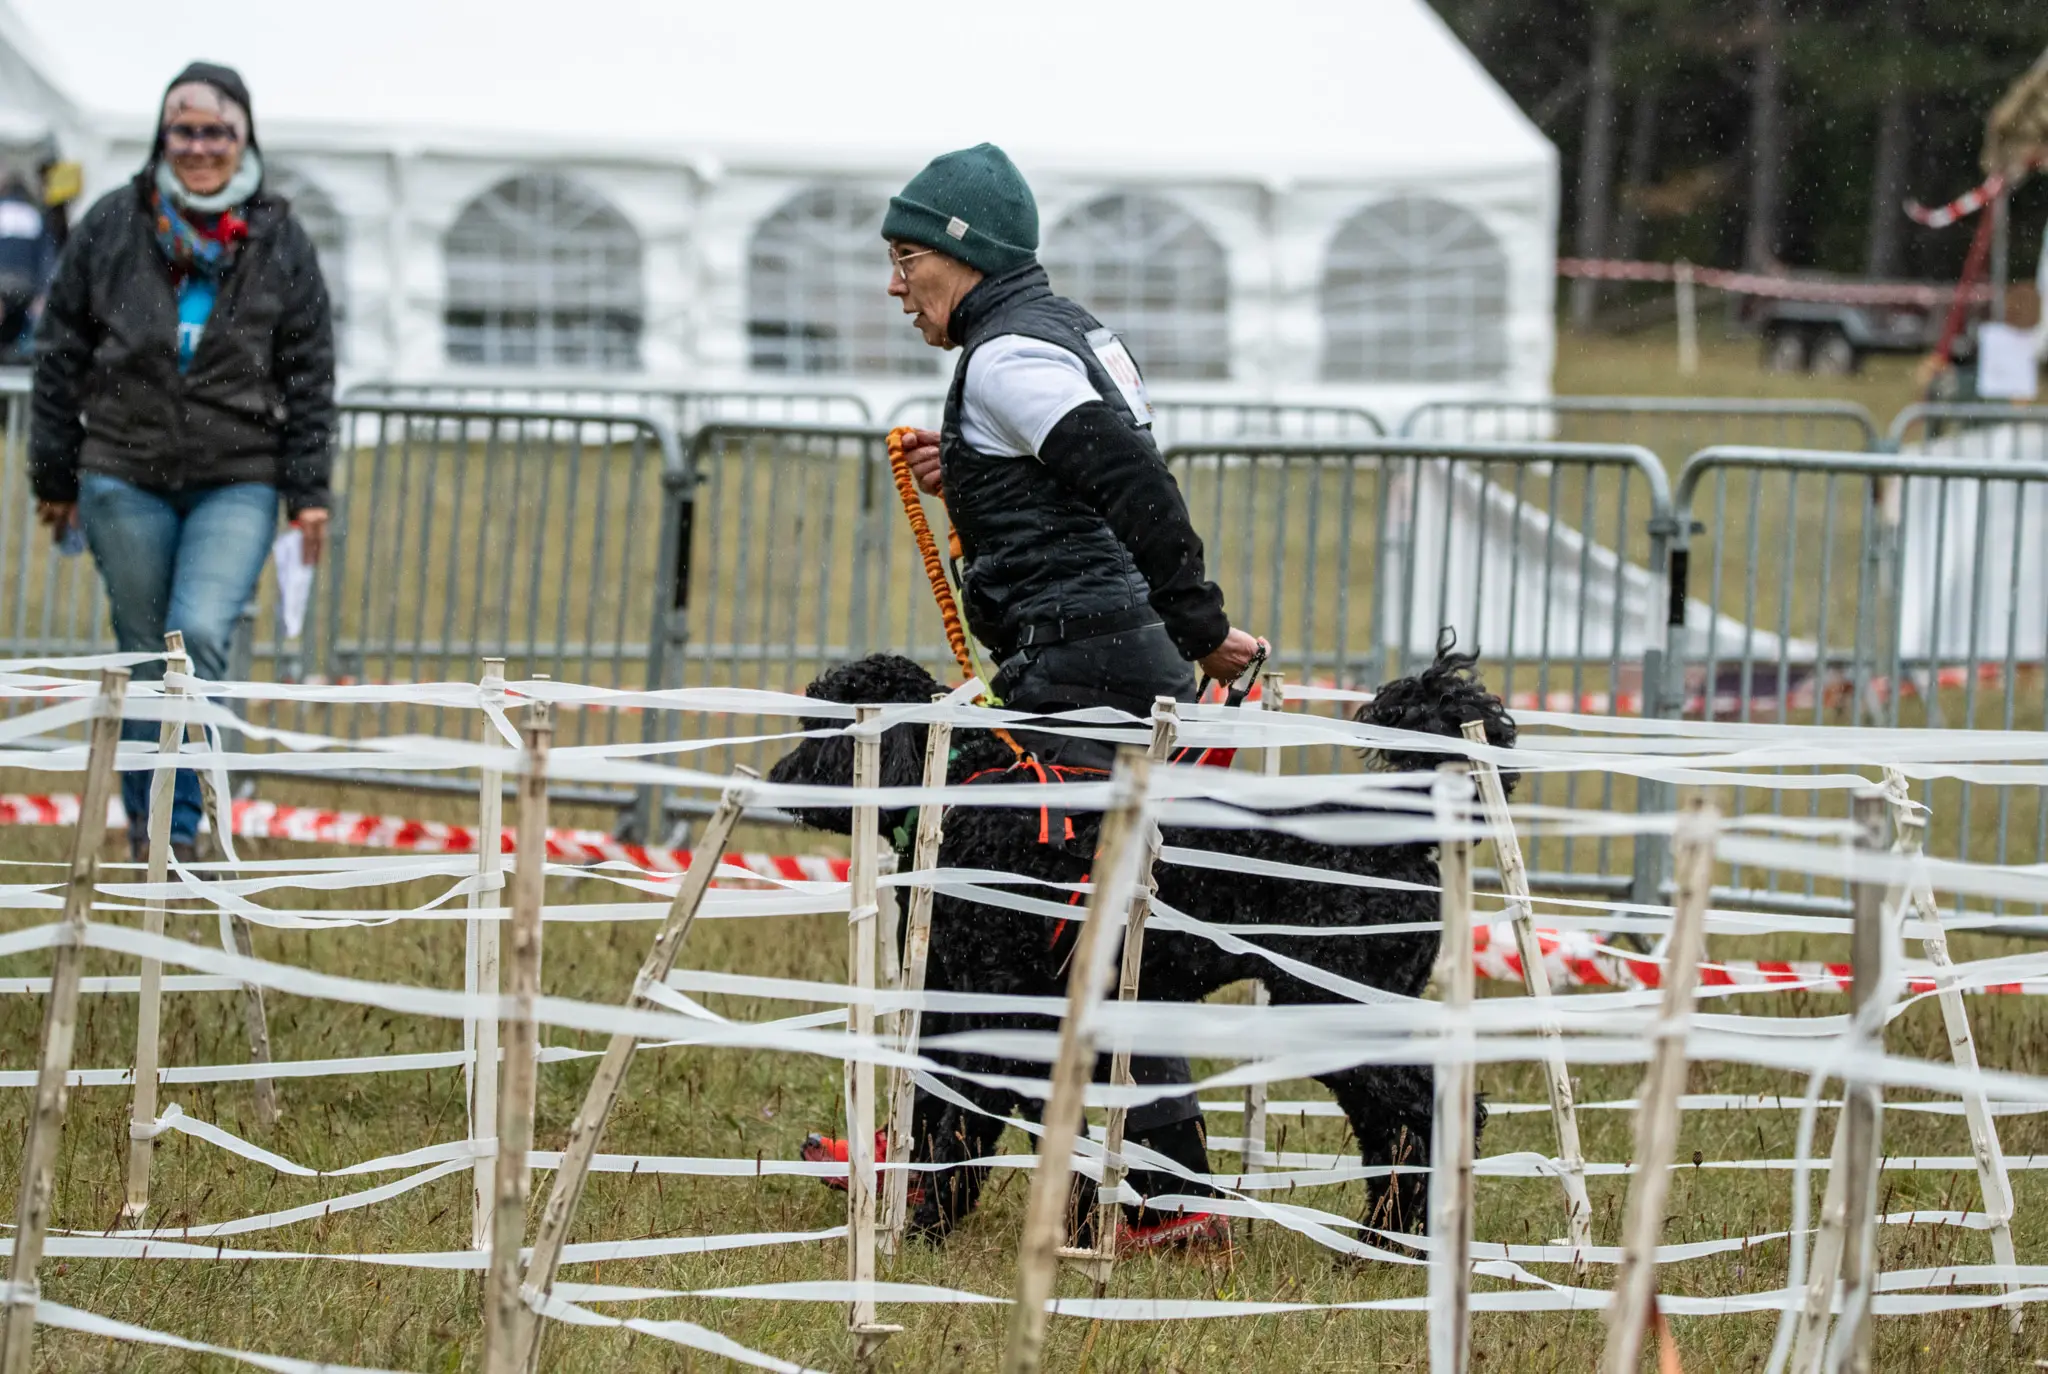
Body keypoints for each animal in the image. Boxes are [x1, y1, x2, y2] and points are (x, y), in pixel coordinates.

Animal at [761, 638, 1515, 1244]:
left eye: (822, 724)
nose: (780, 784)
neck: (971, 795)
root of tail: (1405, 822)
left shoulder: (1003, 1017)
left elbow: (972, 1131)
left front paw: (936, 1229)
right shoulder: (976, 1012)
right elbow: (965, 1121)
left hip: (1335, 1003)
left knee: (1432, 1110)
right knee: (1392, 1125)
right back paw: (1383, 1239)